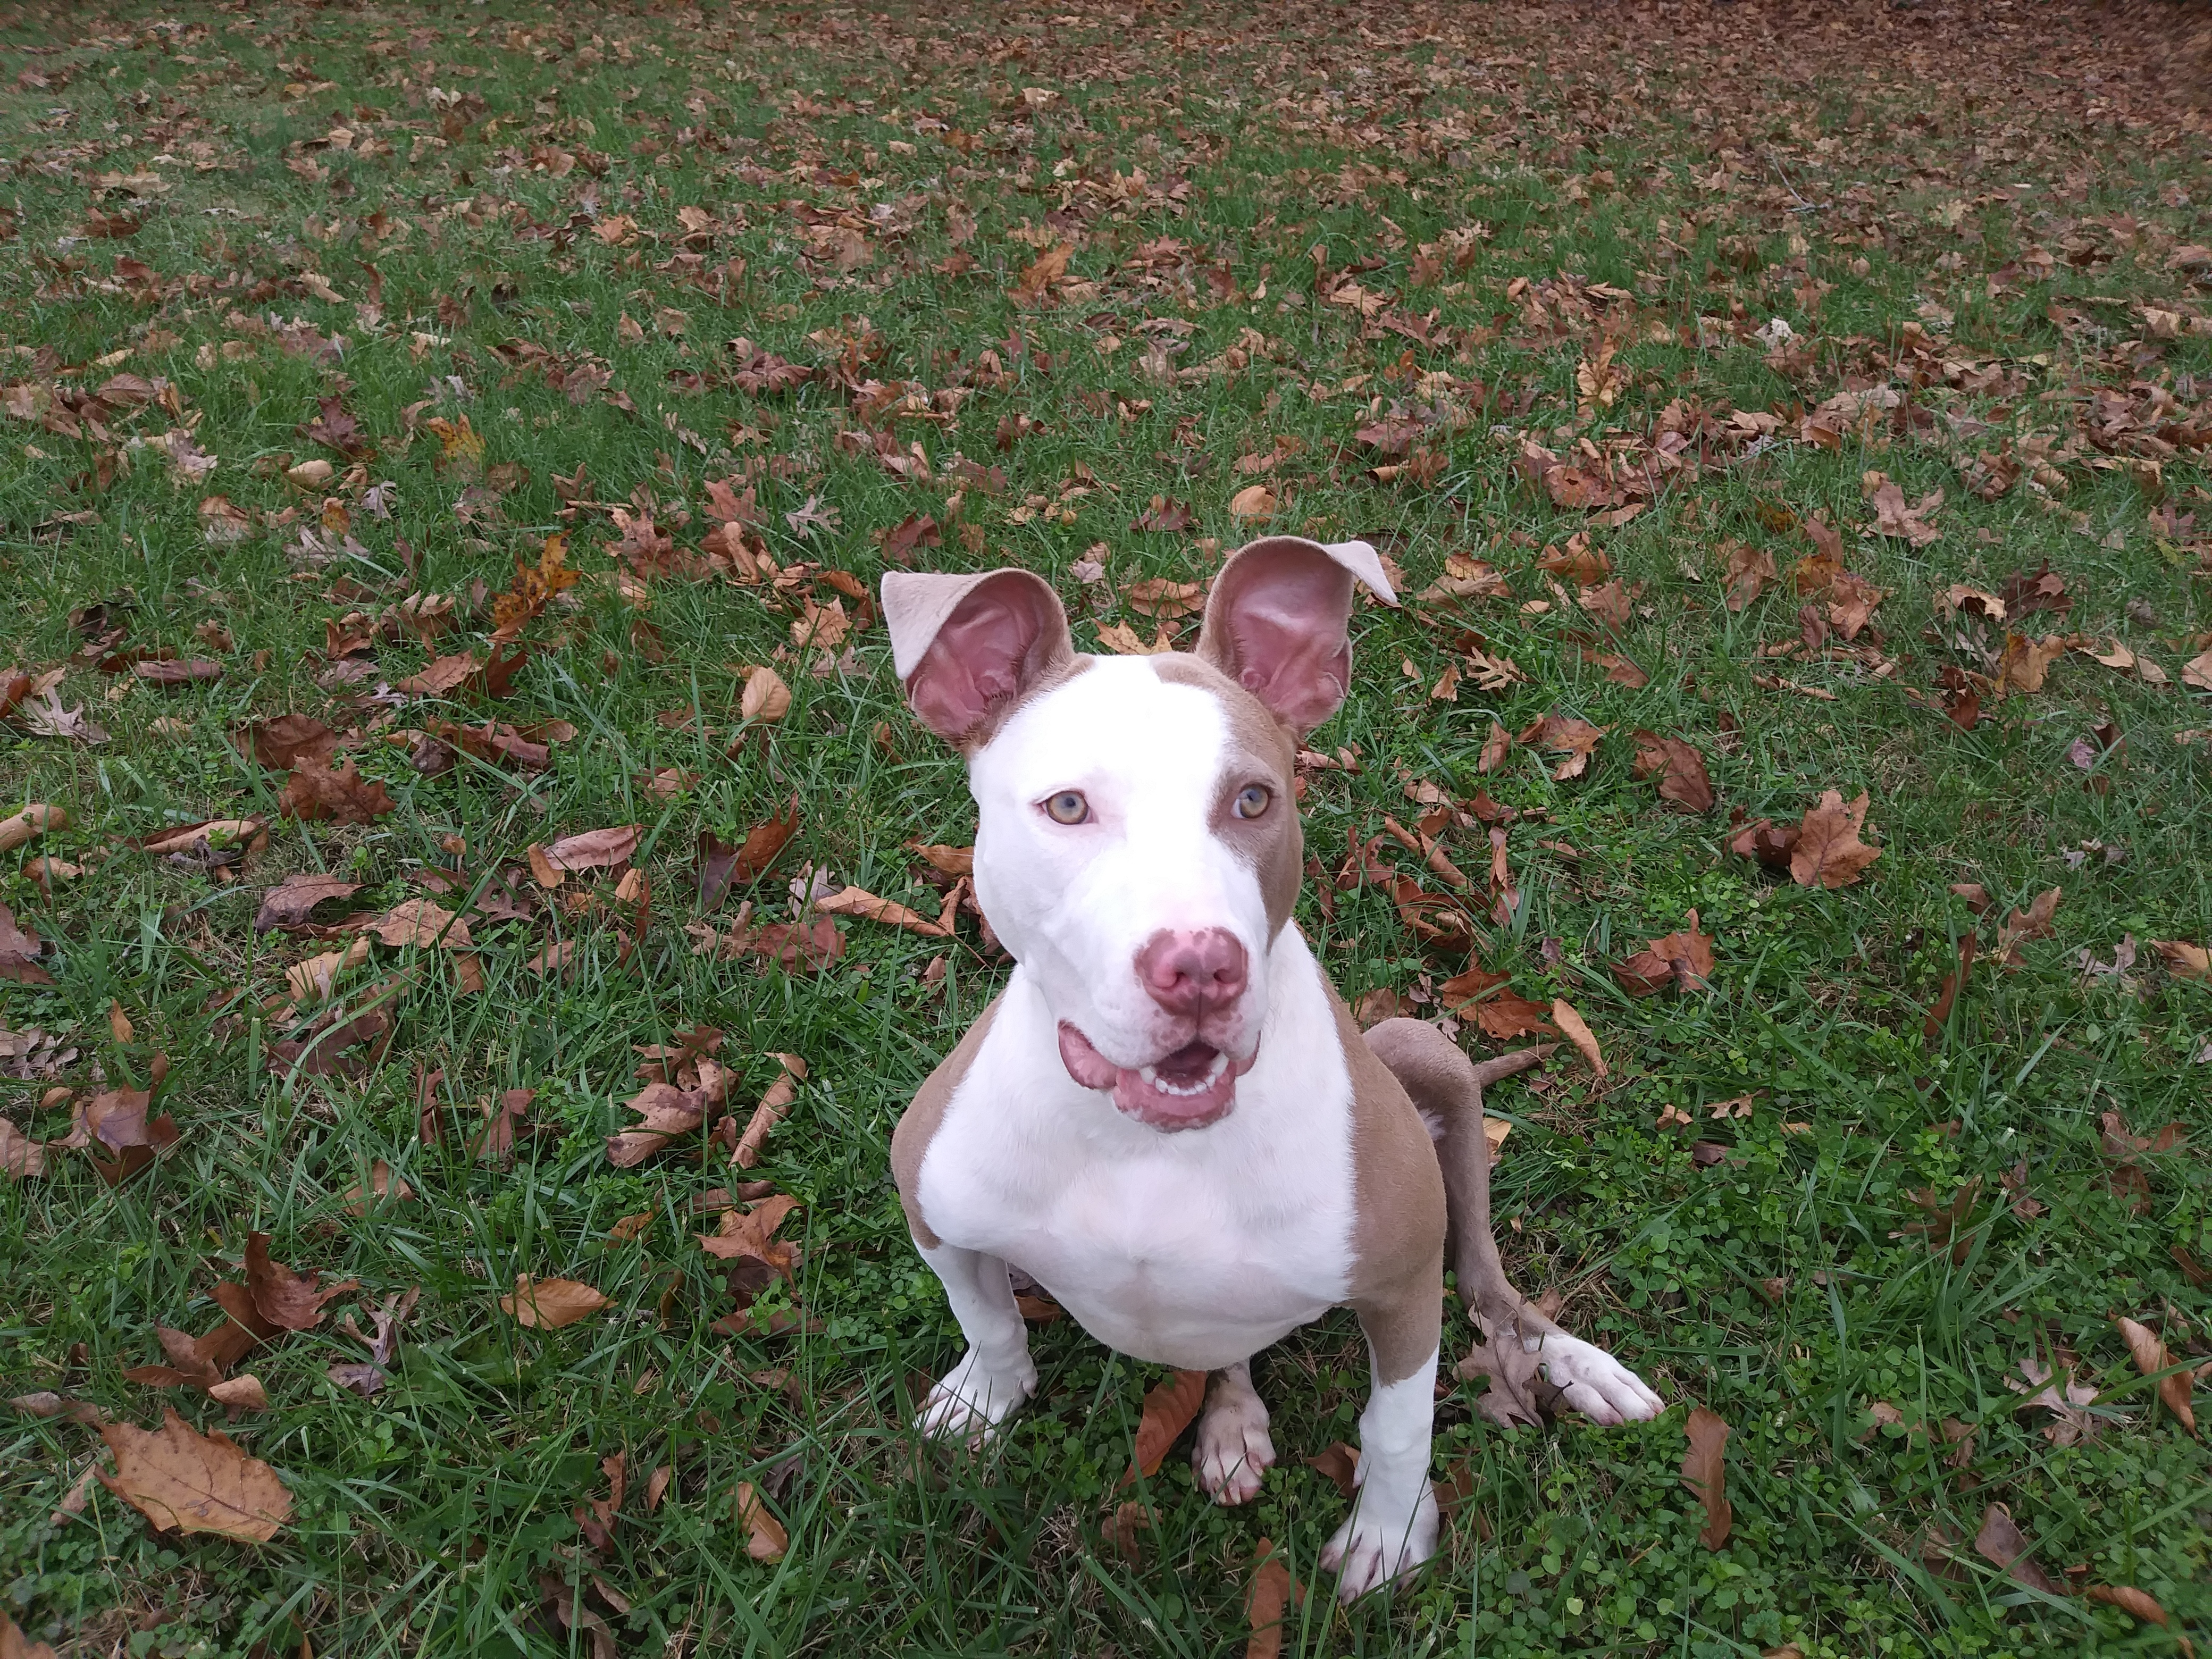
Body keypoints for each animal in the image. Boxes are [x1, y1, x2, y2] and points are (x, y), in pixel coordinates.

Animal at [880, 540, 1663, 1601]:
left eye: (1254, 799)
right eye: (1068, 808)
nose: (1200, 966)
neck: (1144, 1139)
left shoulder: (1401, 1284)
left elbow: (1400, 1427)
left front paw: (1389, 1536)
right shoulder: (933, 1206)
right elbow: (990, 1321)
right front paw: (983, 1399)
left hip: (1422, 1054)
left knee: (1491, 1286)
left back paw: (1579, 1365)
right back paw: (1230, 1422)